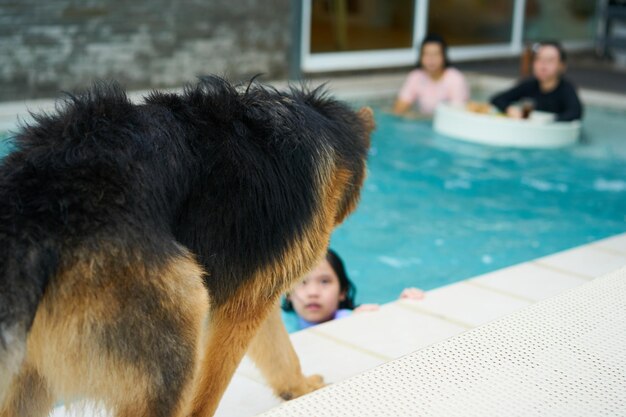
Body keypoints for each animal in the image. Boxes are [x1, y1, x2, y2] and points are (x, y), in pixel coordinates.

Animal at [0, 78, 370, 416]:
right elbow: (211, 388)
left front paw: (299, 386)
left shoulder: (255, 286)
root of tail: (37, 207)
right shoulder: (244, 305)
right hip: (178, 322)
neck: (318, 119)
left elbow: (279, 349)